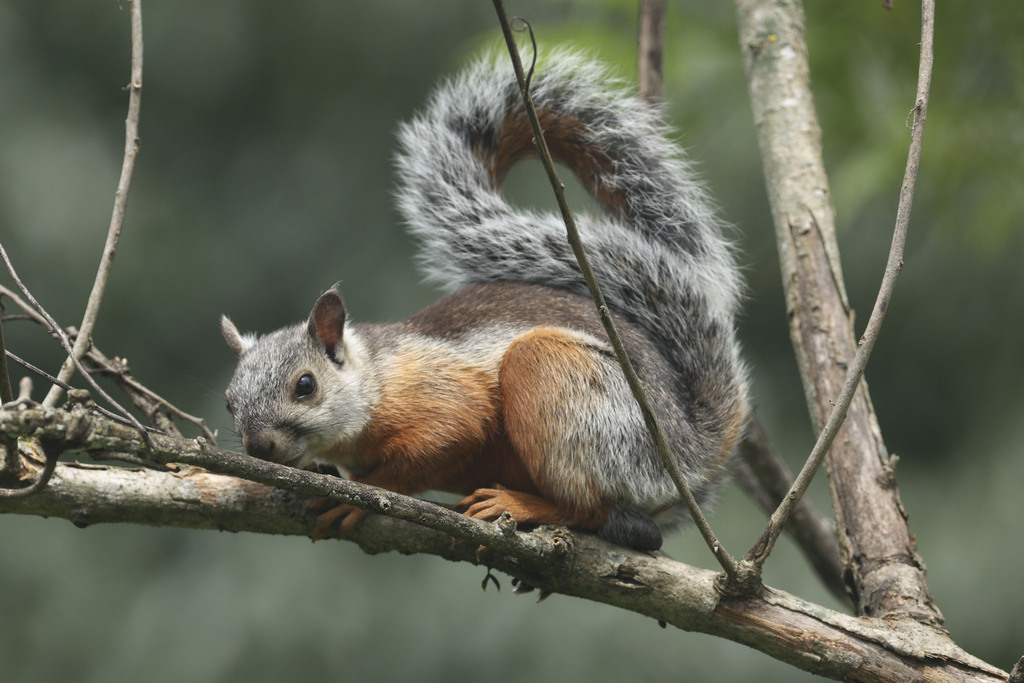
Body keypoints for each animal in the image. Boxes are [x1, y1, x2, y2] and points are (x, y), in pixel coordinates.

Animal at [220, 52, 749, 557]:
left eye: (305, 385)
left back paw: (524, 504)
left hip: (566, 387)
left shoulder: (441, 396)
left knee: (590, 508)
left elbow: (445, 440)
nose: (258, 446)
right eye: (228, 401)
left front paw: (361, 495)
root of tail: (690, 451)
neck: (377, 376)